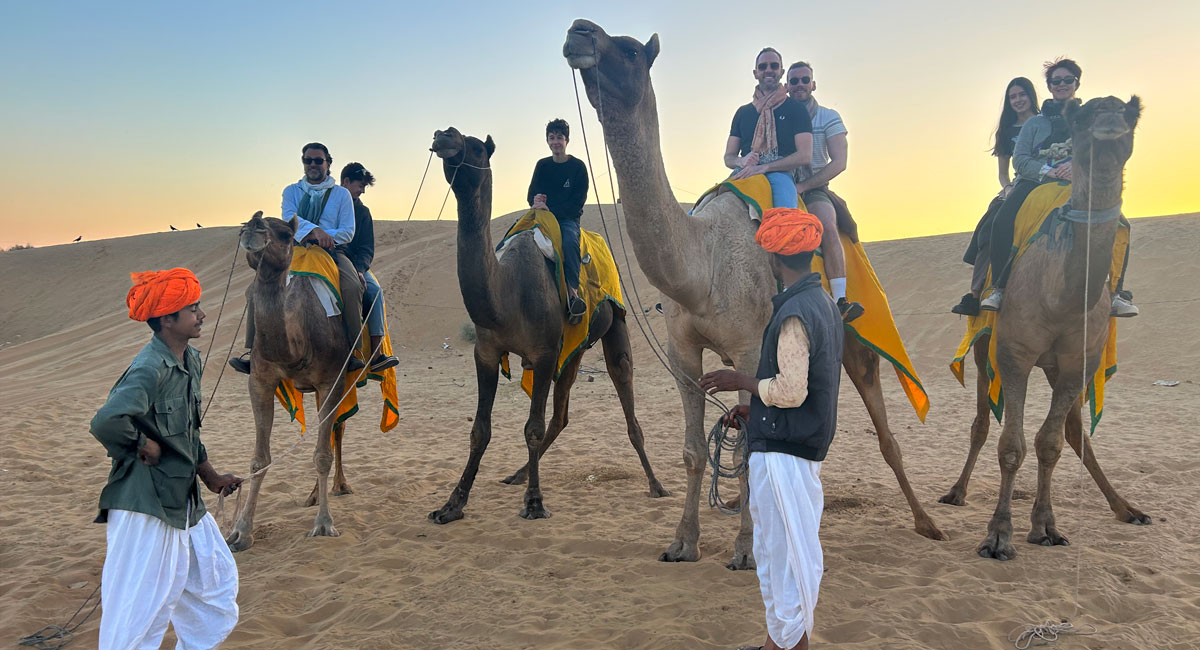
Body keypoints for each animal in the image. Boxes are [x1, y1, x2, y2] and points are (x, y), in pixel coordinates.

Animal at [224, 212, 355, 551]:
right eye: (243, 226)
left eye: (284, 234)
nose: (254, 227)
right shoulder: (260, 381)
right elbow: (259, 460)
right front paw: (241, 532)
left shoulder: (332, 380)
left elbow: (321, 455)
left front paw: (324, 524)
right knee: (334, 429)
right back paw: (315, 494)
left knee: (337, 429)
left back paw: (340, 486)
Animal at [424, 128, 672, 530]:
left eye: (475, 146)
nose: (443, 135)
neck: (507, 292)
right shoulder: (487, 351)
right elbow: (480, 430)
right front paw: (451, 505)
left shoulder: (542, 353)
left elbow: (532, 428)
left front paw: (535, 503)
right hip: (574, 350)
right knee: (562, 415)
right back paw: (517, 474)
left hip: (614, 323)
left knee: (624, 392)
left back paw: (656, 484)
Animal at [561, 19, 945, 570]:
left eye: (631, 50)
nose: (579, 31)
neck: (700, 267)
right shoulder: (682, 352)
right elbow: (695, 451)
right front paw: (683, 542)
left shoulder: (748, 348)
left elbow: (747, 448)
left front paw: (745, 549)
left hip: (856, 339)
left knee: (885, 432)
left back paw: (927, 522)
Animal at [969, 95, 1147, 561]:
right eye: (1082, 118)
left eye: (1129, 114)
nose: (1108, 124)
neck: (1063, 296)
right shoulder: (1013, 354)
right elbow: (1011, 446)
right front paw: (998, 536)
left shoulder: (1078, 362)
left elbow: (1050, 443)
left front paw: (1045, 527)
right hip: (982, 345)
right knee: (980, 422)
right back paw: (955, 493)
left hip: (1056, 366)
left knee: (1072, 431)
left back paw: (1128, 508)